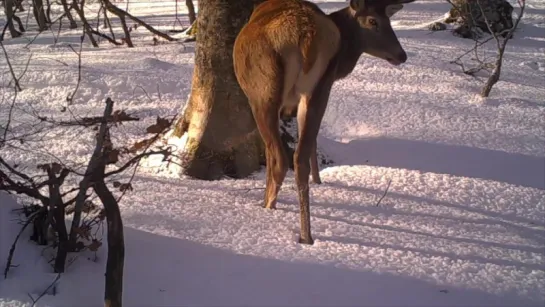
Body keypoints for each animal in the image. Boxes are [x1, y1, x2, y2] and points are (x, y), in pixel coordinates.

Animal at [232, 0, 414, 245]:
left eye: (387, 19)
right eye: (373, 20)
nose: (401, 55)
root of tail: (306, 36)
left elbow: (271, 155)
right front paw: (319, 181)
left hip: (263, 90)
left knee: (279, 157)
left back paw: (269, 207)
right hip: (317, 88)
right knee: (299, 155)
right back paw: (306, 235)